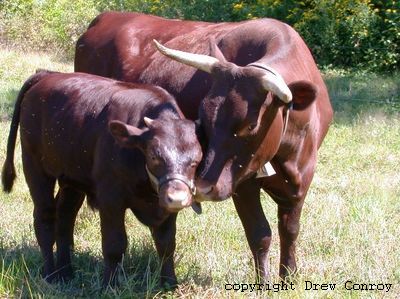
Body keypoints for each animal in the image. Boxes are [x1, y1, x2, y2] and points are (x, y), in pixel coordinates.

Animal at [1, 69, 203, 288]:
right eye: (154, 156)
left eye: (196, 160)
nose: (177, 198)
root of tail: (46, 74)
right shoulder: (110, 199)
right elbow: (115, 244)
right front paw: (110, 284)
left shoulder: (165, 207)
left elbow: (166, 244)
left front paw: (169, 283)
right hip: (35, 167)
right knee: (44, 218)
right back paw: (50, 274)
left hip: (72, 179)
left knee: (64, 217)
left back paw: (65, 272)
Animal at [76, 12, 334, 282]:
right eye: (203, 119)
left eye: (251, 124)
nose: (203, 187)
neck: (288, 157)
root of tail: (106, 17)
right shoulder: (242, 184)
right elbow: (260, 234)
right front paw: (264, 282)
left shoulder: (301, 180)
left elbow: (290, 230)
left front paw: (289, 277)